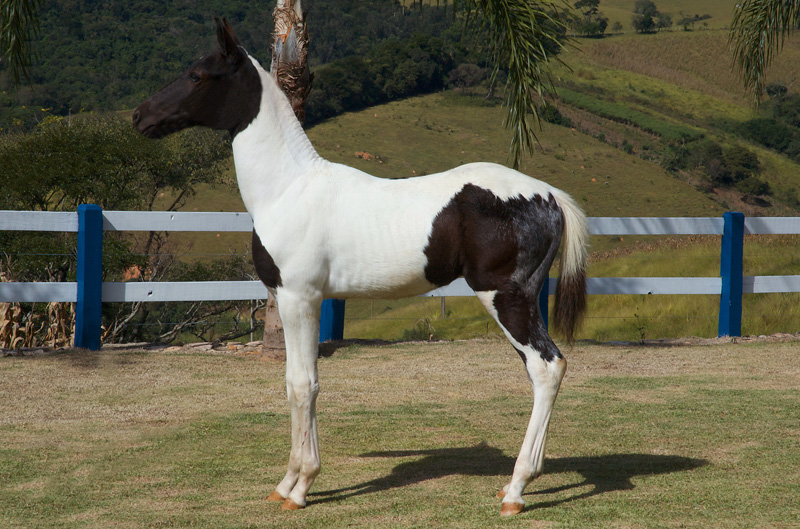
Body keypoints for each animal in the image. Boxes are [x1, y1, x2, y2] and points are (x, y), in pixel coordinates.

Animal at [133, 17, 588, 516]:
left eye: (198, 75)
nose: (139, 117)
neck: (288, 188)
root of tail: (550, 196)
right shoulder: (299, 300)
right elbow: (298, 382)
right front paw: (286, 484)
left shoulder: (299, 298)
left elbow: (302, 384)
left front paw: (299, 486)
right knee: (540, 369)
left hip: (505, 298)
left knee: (547, 366)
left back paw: (515, 490)